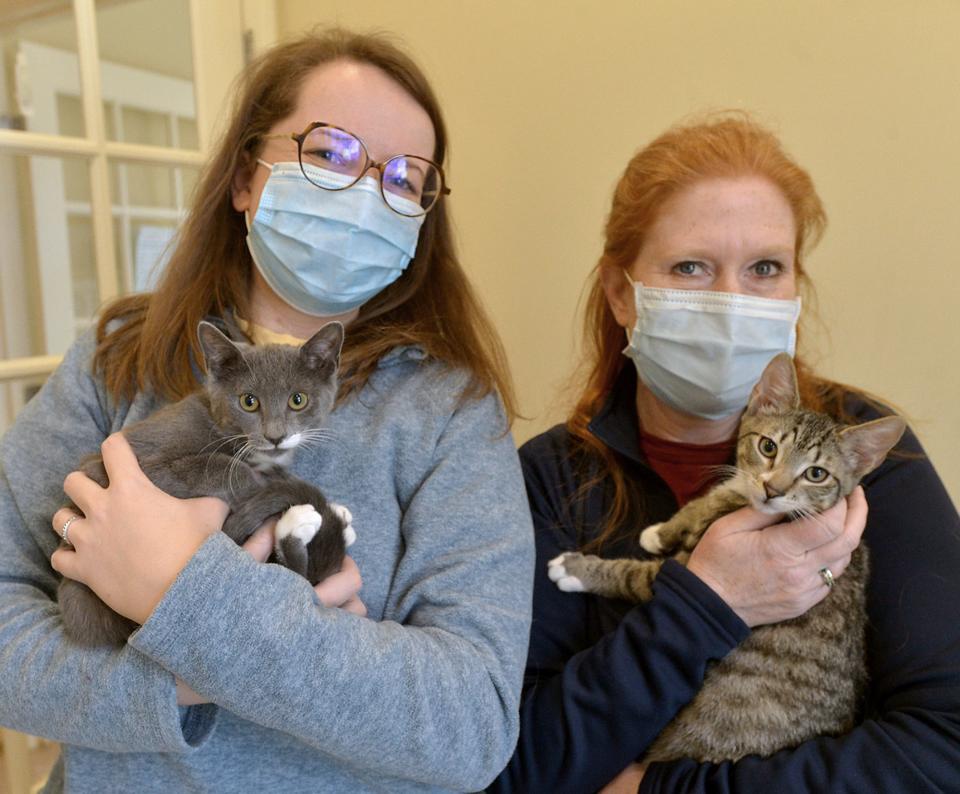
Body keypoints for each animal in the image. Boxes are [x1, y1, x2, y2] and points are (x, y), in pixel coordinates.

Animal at [57, 318, 356, 648]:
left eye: (298, 400)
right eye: (248, 402)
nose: (275, 436)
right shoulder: (131, 466)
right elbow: (226, 468)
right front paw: (261, 486)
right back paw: (297, 523)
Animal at [548, 352, 908, 760]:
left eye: (817, 474)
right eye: (768, 447)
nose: (772, 489)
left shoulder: (684, 568)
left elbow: (632, 575)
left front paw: (577, 569)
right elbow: (706, 501)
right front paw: (664, 530)